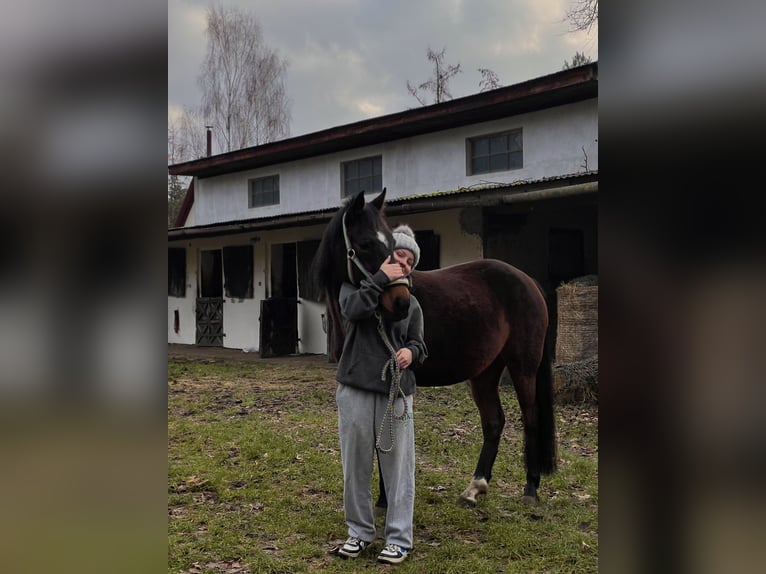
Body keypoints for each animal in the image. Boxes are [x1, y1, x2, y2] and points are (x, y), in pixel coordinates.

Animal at [311, 189, 556, 508]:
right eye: (364, 244)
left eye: (392, 245)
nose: (402, 303)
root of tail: (528, 281)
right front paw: (383, 499)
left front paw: (386, 498)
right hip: (486, 372)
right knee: (494, 422)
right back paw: (475, 487)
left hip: (523, 367)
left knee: (531, 416)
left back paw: (530, 489)